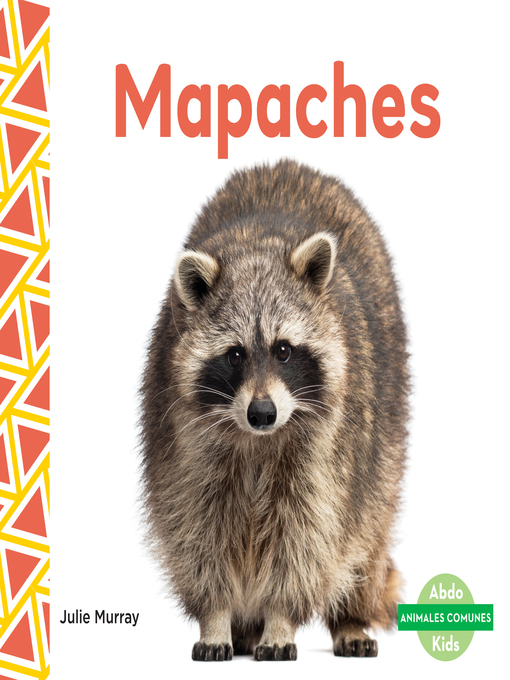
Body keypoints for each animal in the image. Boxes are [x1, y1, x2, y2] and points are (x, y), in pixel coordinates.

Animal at [140, 159, 409, 662]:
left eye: (284, 351)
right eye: (235, 355)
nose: (263, 412)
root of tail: (293, 167)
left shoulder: (327, 448)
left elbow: (308, 535)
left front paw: (280, 618)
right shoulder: (182, 437)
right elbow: (197, 528)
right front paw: (216, 616)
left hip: (385, 434)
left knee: (364, 531)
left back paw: (350, 616)